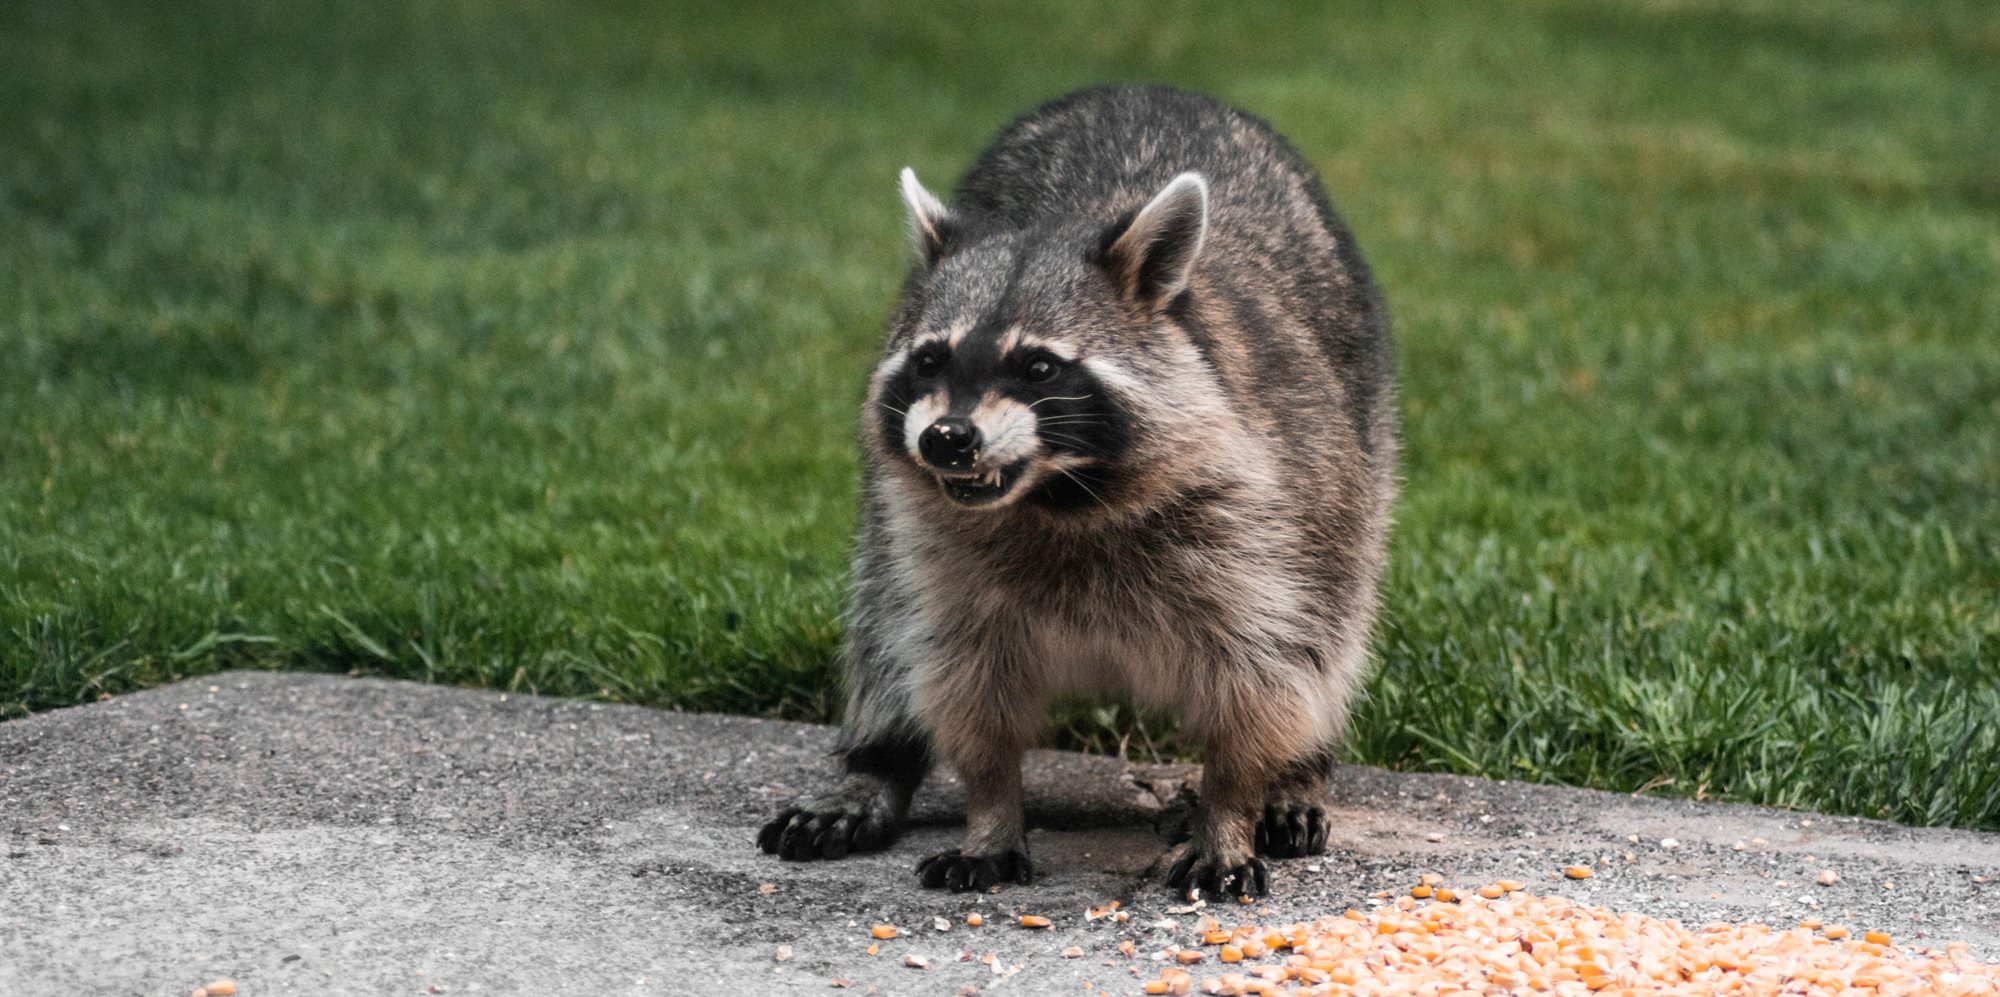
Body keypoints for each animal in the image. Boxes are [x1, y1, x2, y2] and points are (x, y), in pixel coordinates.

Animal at [757, 86, 1396, 898]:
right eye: (930, 360)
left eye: (1038, 367)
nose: (947, 439)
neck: (1058, 495)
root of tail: (1148, 88)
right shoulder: (944, 555)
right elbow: (965, 685)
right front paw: (991, 811)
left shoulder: (1260, 520)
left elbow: (1264, 673)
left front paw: (1230, 807)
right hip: (885, 520)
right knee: (883, 619)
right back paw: (874, 761)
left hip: (1357, 458)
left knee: (1334, 623)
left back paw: (1297, 774)